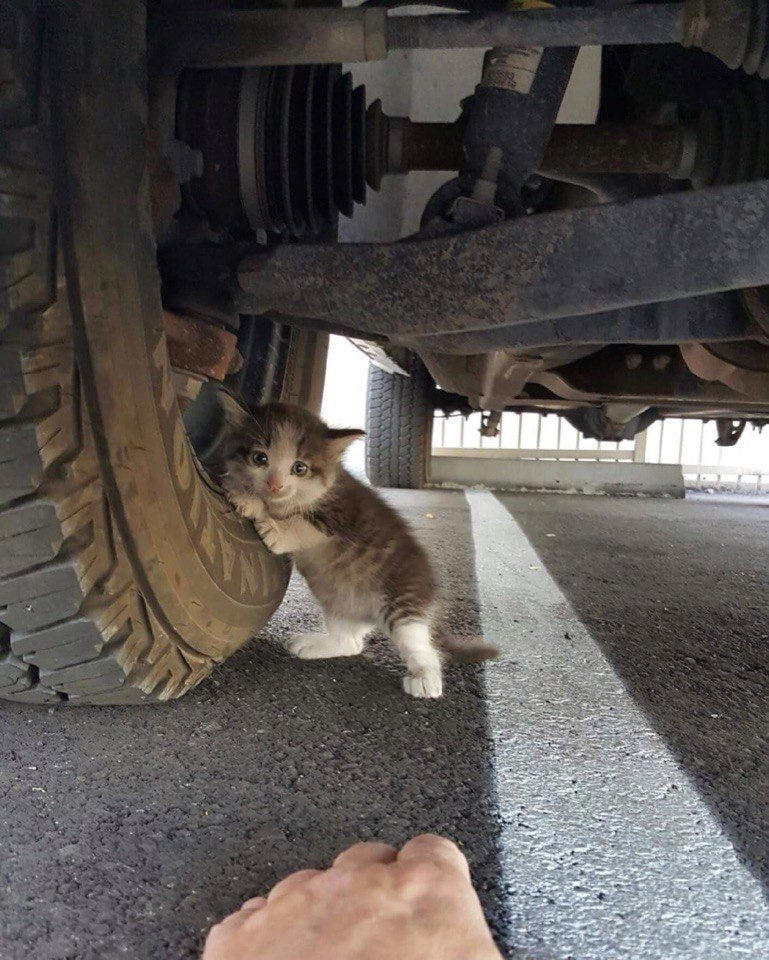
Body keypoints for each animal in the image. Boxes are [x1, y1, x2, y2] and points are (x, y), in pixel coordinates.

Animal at [216, 390, 460, 696]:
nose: (275, 484)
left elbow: (299, 522)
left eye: (299, 467)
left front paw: (265, 517)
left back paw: (426, 678)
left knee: (417, 641)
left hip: (403, 599)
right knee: (351, 643)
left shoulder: (342, 516)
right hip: (339, 603)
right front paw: (244, 491)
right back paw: (313, 644)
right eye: (260, 458)